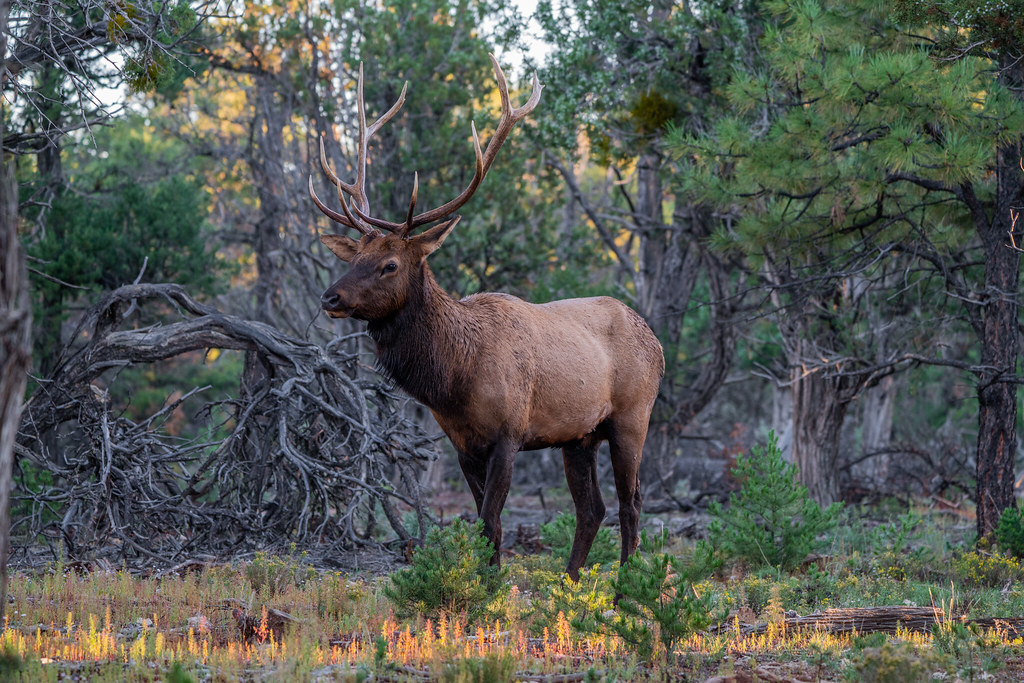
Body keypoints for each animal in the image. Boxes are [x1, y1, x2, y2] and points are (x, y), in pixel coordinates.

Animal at [308, 56, 664, 580]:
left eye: (389, 264)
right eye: (355, 256)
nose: (330, 297)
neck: (455, 377)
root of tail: (656, 341)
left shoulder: (509, 433)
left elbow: (491, 522)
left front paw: (490, 590)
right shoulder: (462, 444)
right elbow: (483, 526)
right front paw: (487, 582)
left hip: (633, 416)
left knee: (631, 503)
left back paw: (625, 586)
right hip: (578, 436)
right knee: (591, 509)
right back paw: (571, 583)